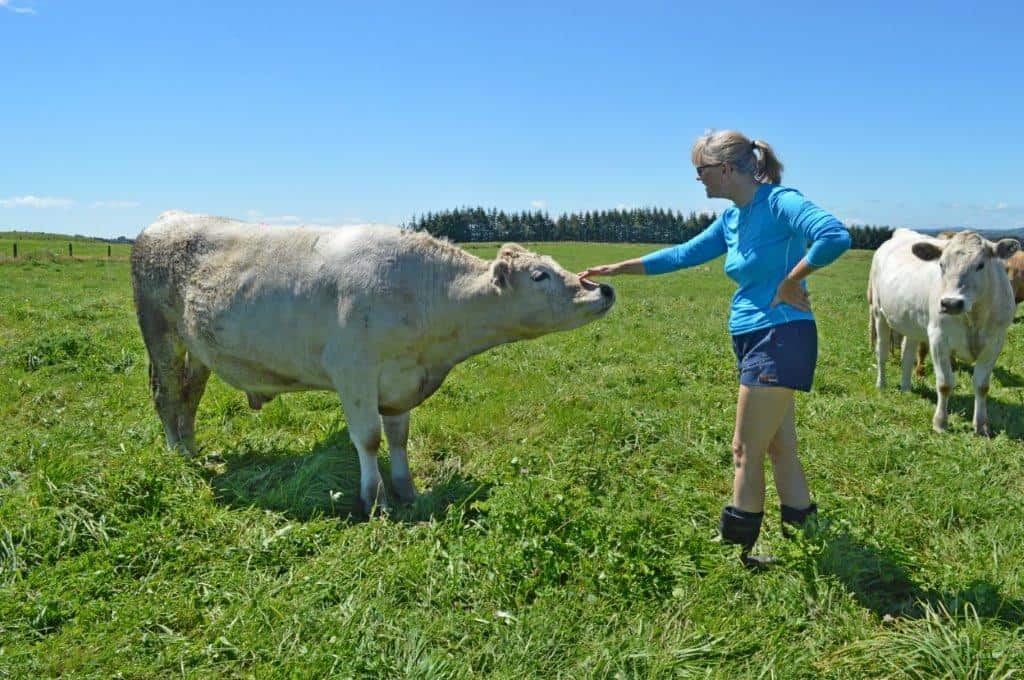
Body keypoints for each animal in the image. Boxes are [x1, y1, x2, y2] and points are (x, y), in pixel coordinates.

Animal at [131, 211, 615, 512]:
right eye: (539, 275)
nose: (603, 288)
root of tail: (163, 221)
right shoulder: (354, 374)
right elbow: (368, 439)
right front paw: (374, 499)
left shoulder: (401, 382)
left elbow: (398, 438)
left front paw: (407, 490)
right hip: (162, 336)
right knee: (167, 395)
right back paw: (179, 454)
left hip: (199, 350)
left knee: (189, 397)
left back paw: (193, 448)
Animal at [868, 228, 1019, 435]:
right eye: (941, 265)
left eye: (980, 265)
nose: (951, 303)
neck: (974, 318)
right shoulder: (938, 338)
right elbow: (945, 383)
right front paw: (940, 423)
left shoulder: (995, 342)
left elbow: (982, 386)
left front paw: (981, 425)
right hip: (879, 313)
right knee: (881, 352)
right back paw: (881, 384)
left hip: (911, 324)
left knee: (907, 355)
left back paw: (906, 387)